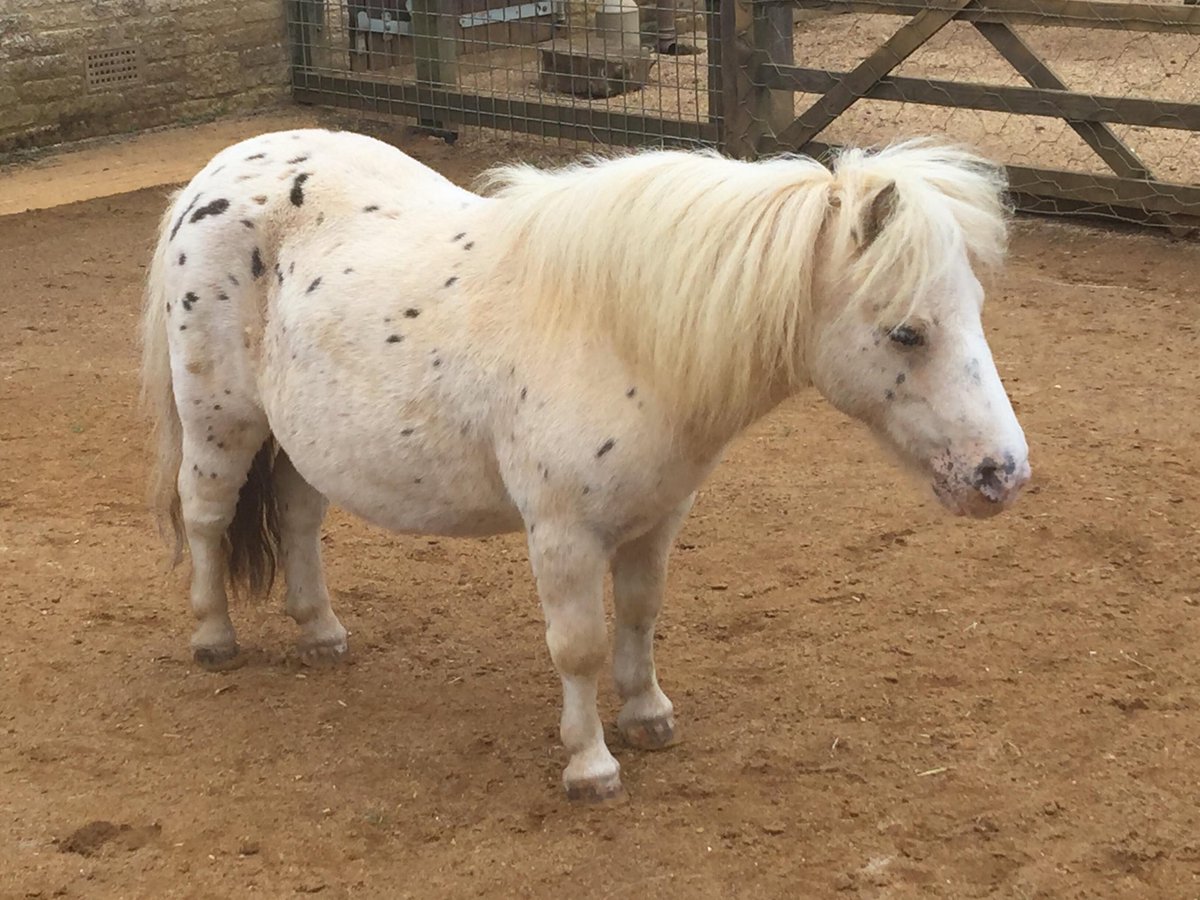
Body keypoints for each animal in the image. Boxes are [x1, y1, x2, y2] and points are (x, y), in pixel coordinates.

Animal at [140, 129, 1031, 803]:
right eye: (907, 332)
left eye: (976, 312)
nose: (1001, 474)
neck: (619, 334)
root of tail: (216, 175)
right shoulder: (563, 534)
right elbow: (578, 645)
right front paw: (591, 765)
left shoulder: (656, 519)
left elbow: (638, 616)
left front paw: (647, 716)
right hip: (222, 426)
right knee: (206, 519)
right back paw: (214, 638)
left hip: (298, 443)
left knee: (296, 521)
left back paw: (321, 634)